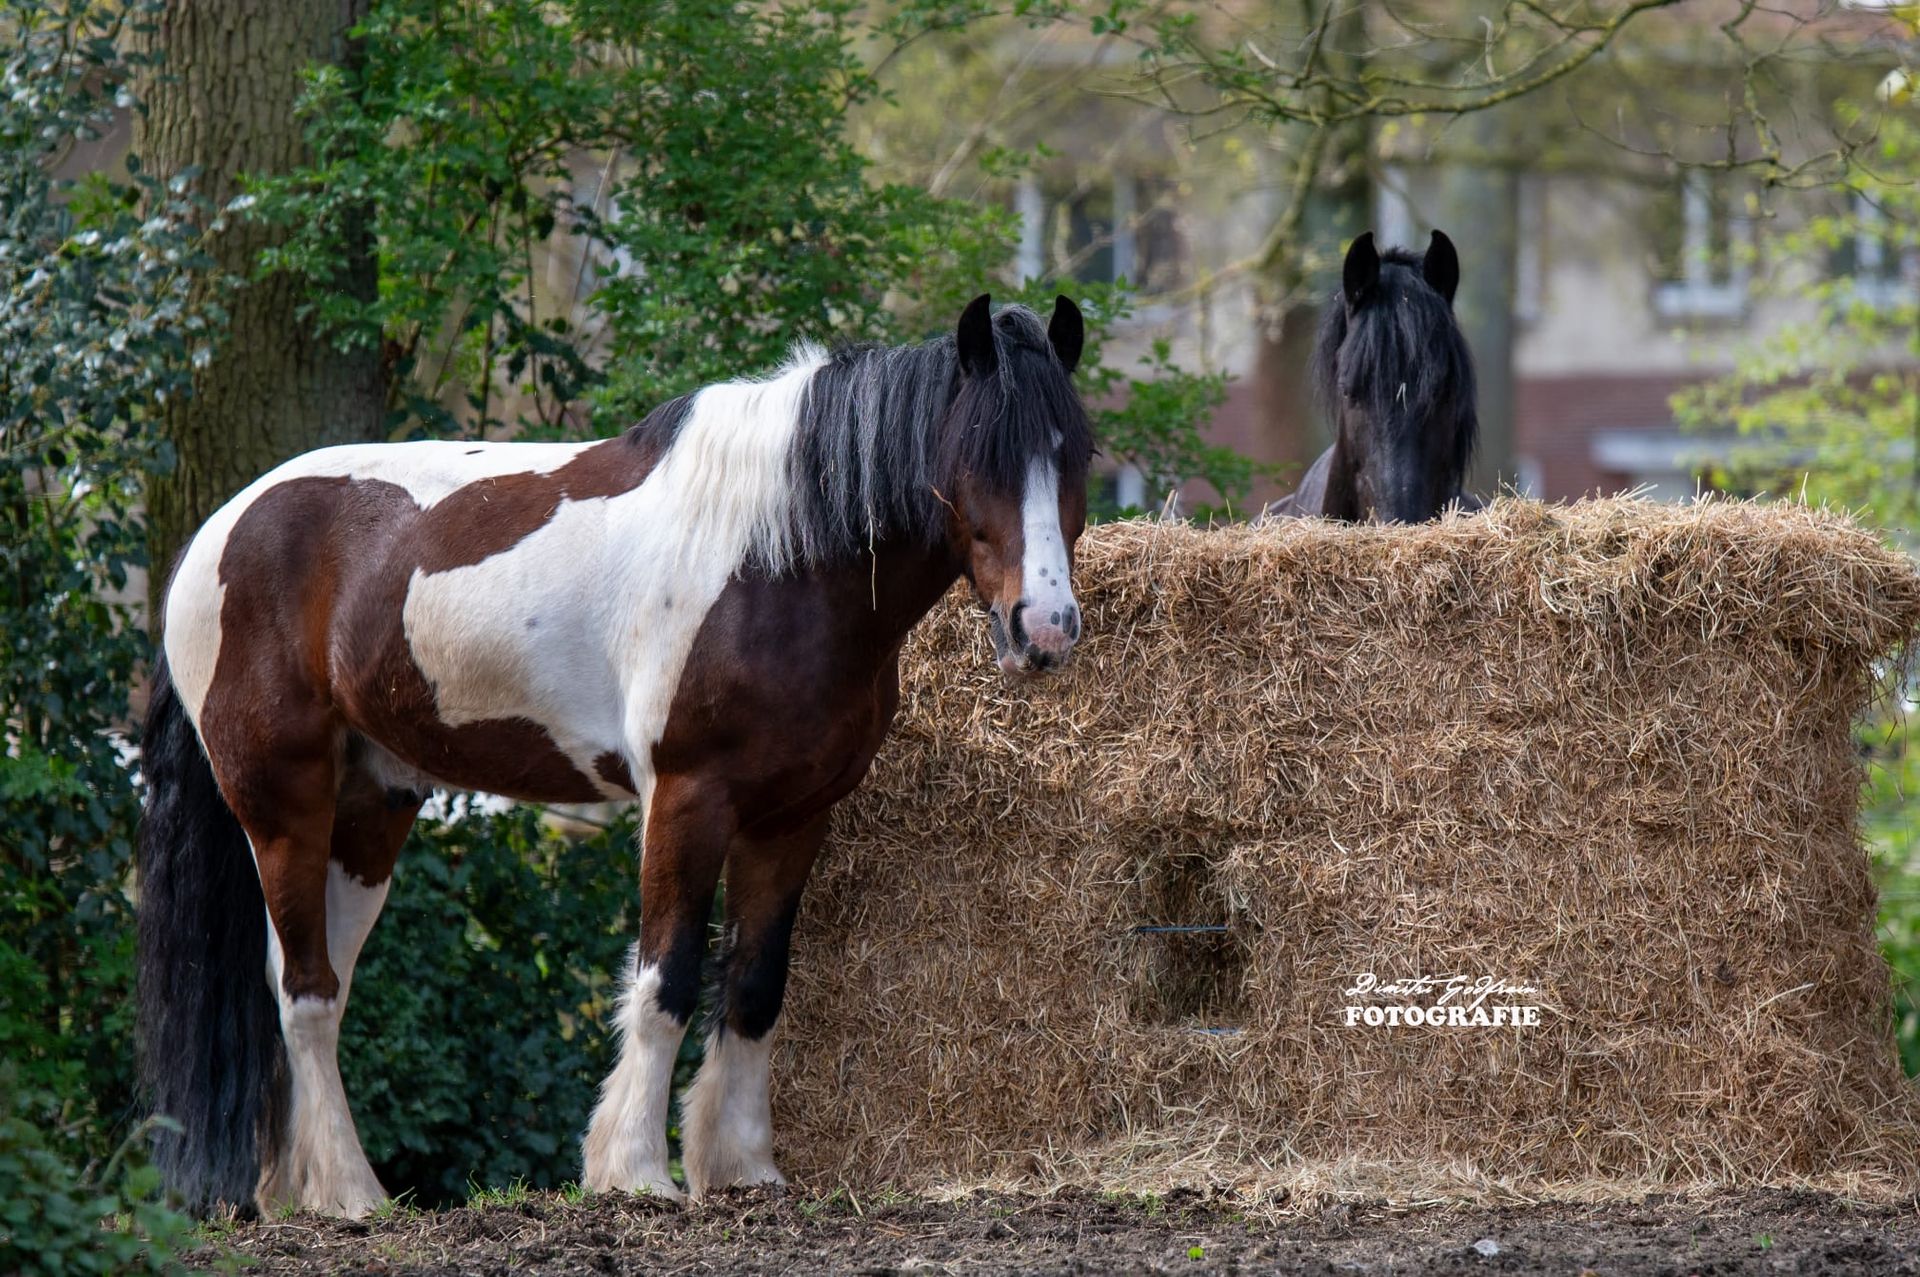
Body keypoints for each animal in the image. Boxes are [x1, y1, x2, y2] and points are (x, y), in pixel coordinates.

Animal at [136, 294, 1093, 1217]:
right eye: (979, 457)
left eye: (1076, 454)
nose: (1044, 630)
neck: (774, 560)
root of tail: (217, 532)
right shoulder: (687, 798)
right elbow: (667, 979)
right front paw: (634, 1170)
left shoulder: (793, 817)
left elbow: (756, 985)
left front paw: (743, 1168)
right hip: (283, 804)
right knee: (305, 992)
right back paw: (352, 1195)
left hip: (372, 810)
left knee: (311, 984)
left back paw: (296, 1190)